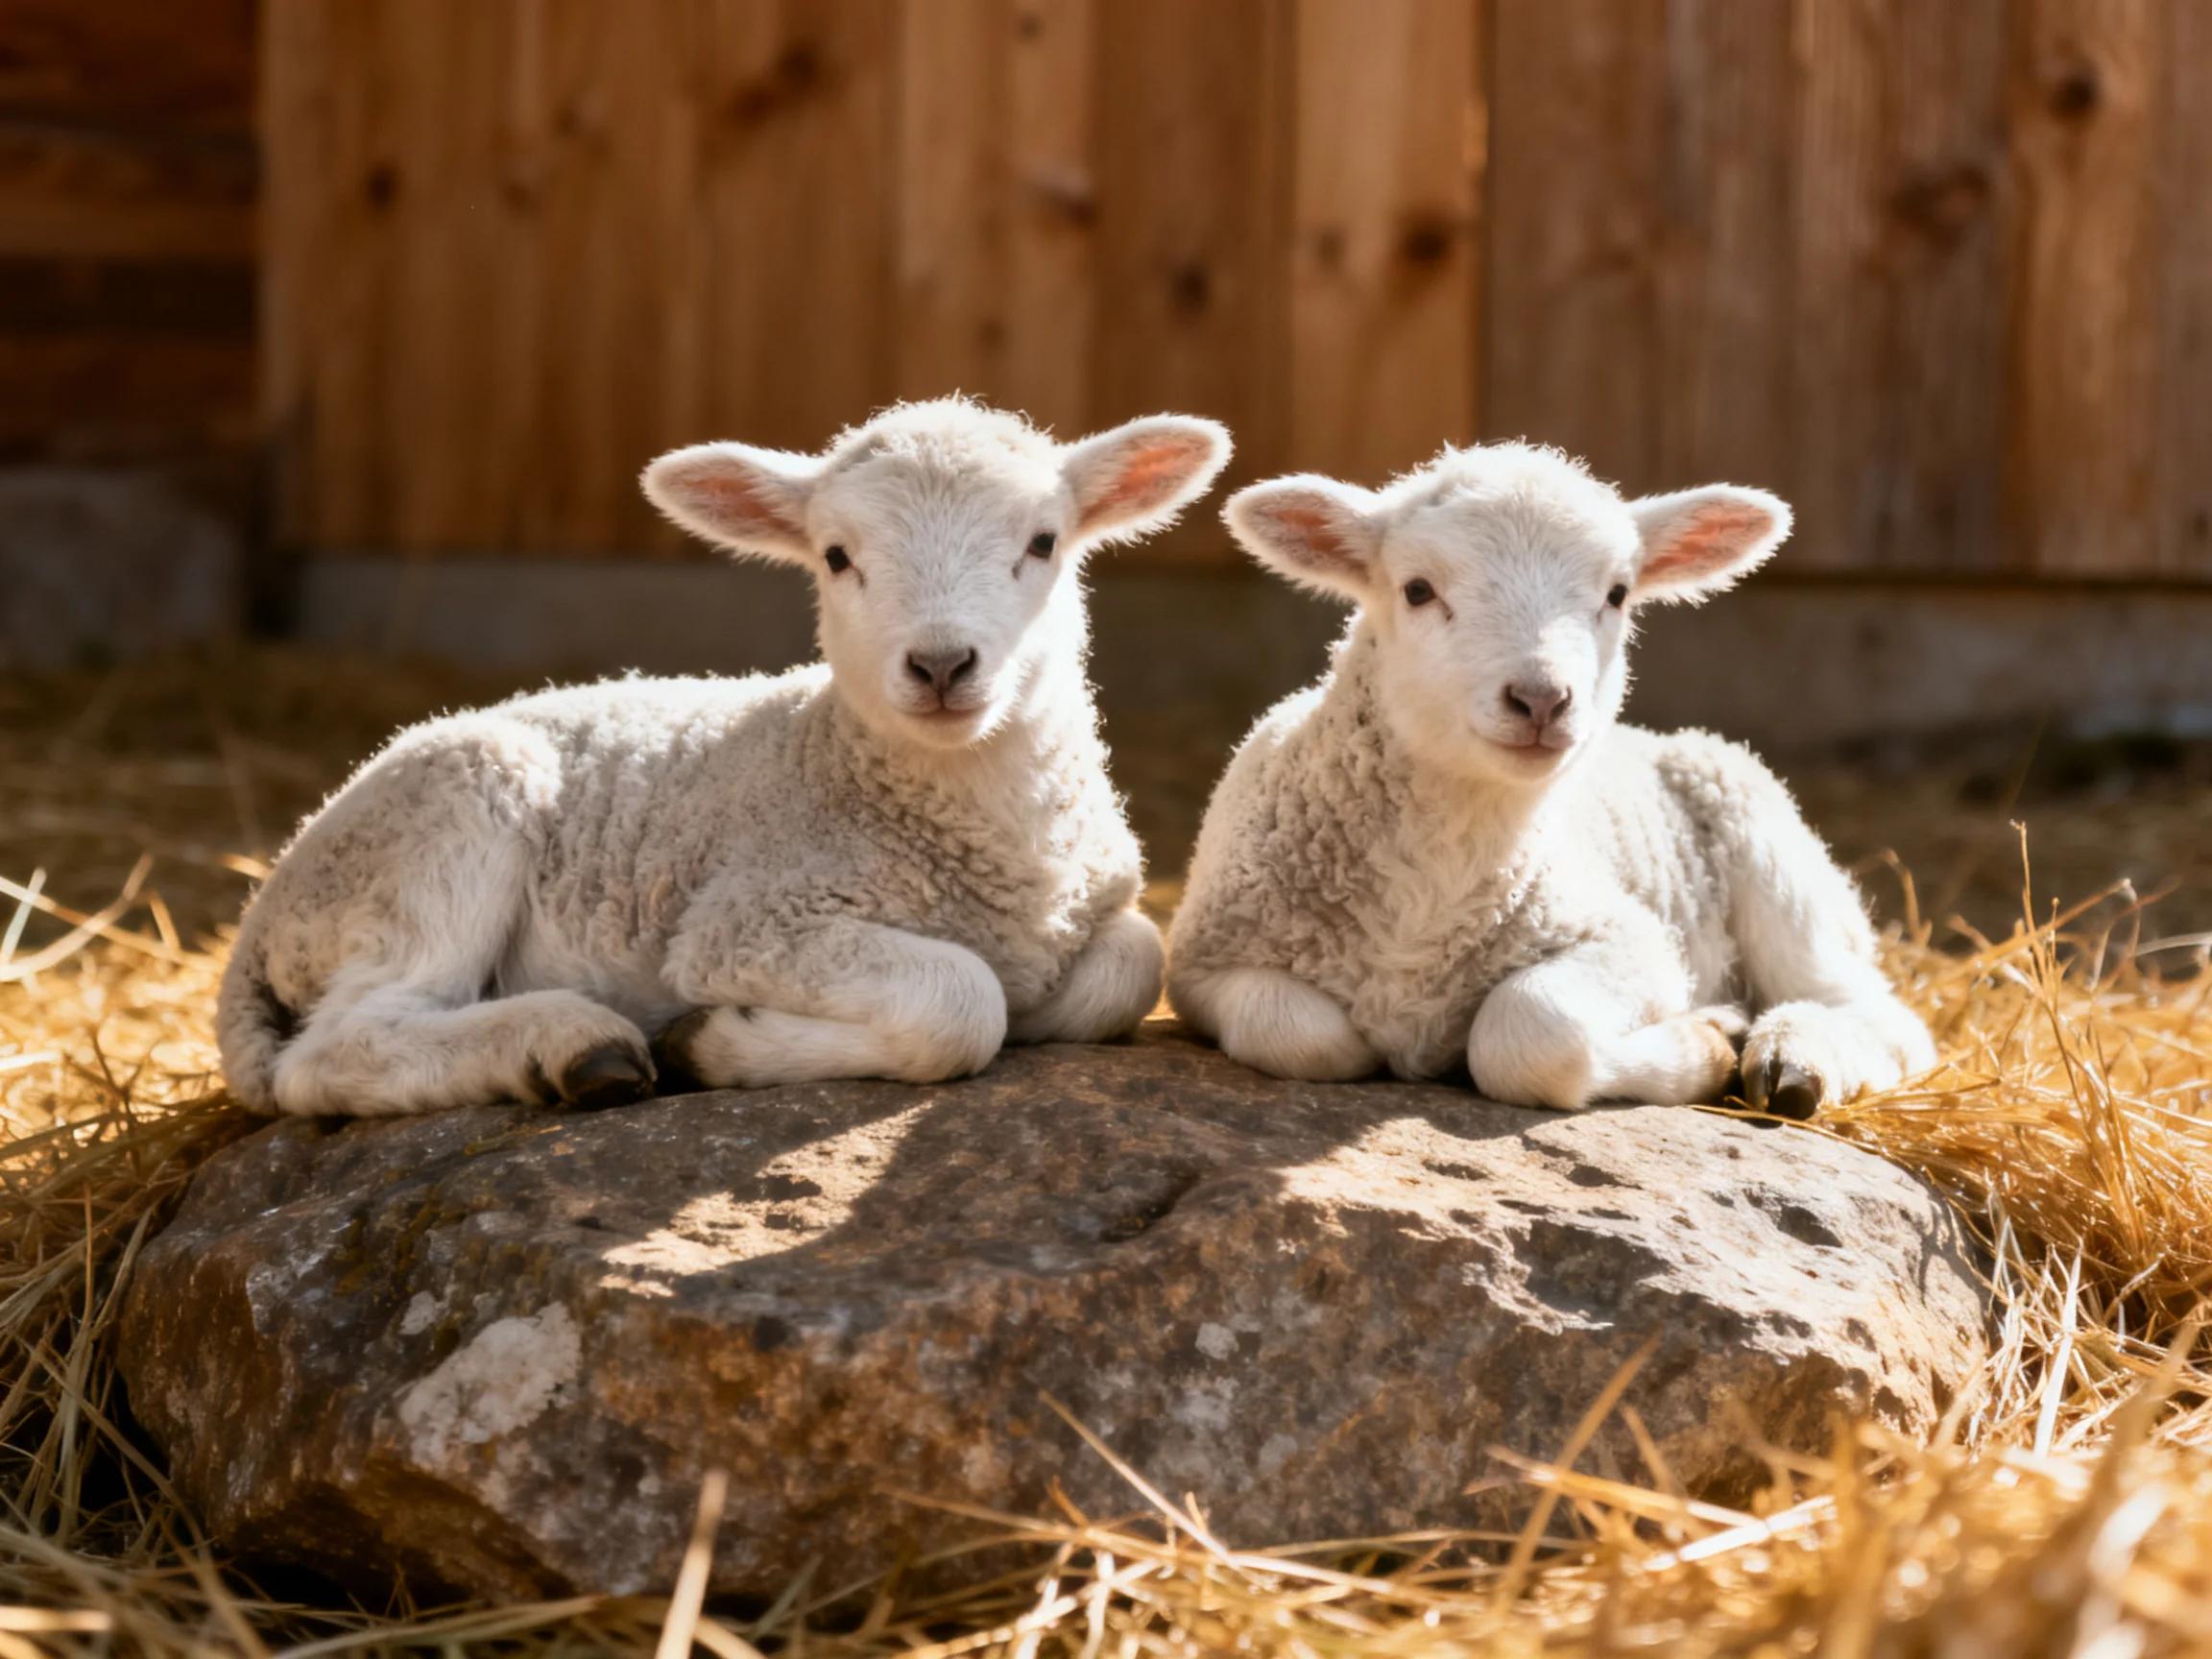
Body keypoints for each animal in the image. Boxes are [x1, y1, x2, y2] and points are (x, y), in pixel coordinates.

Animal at [217, 398, 1230, 1117]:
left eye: (1043, 542)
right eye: (836, 556)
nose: (942, 664)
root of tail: (264, 910)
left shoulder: (1100, 913)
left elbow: (1131, 963)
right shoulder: (749, 921)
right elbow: (963, 1002)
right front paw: (710, 1043)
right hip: (443, 825)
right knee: (339, 1050)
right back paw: (575, 1046)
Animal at [1166, 442, 1934, 1120]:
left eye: (1617, 594)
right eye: (1417, 590)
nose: (1541, 699)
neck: (1427, 899)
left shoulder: (1630, 941)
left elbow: (1529, 1033)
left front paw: (1708, 1045)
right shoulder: (1205, 964)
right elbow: (1301, 1035)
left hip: (1773, 861)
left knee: (1879, 1015)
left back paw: (1791, 1059)